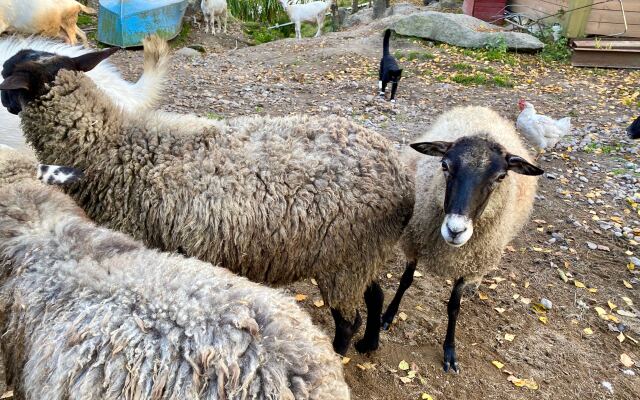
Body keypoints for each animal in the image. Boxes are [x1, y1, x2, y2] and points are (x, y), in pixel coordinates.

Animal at [380, 105, 544, 372]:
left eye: (501, 176)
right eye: (445, 165)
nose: (455, 230)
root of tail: (483, 110)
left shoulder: (469, 261)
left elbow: (454, 307)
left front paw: (450, 351)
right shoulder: (414, 241)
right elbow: (405, 282)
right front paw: (387, 316)